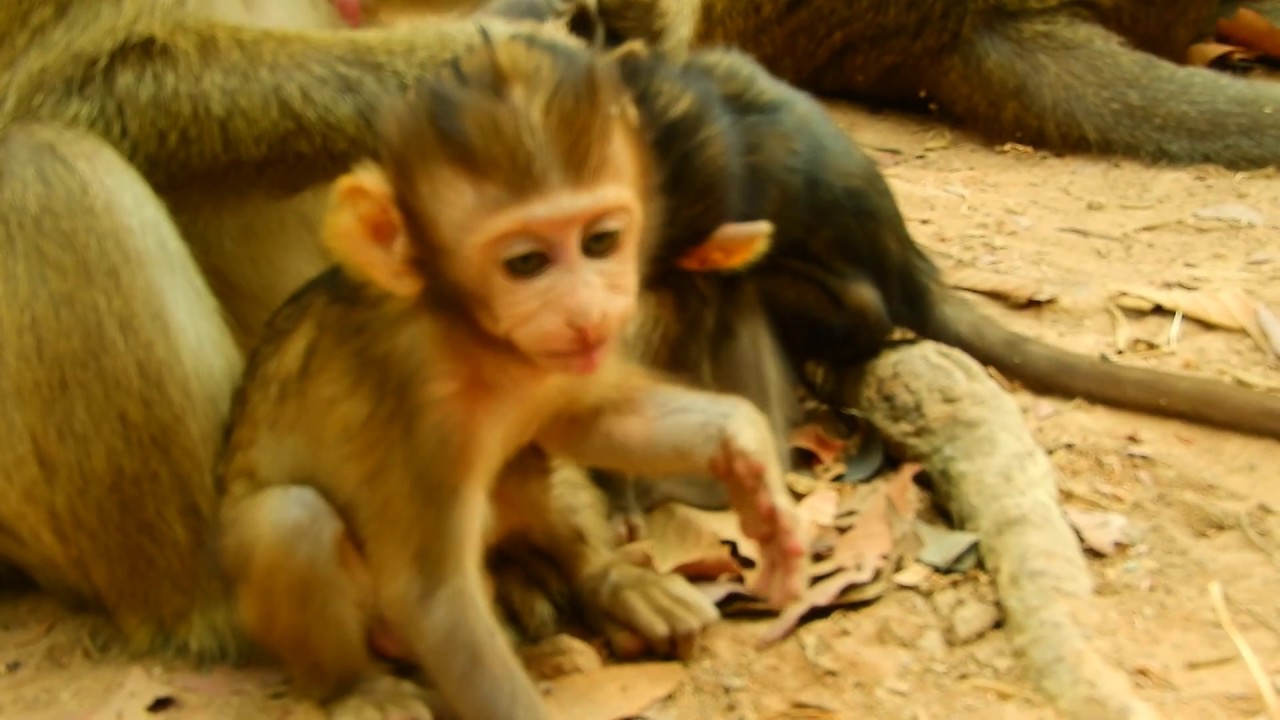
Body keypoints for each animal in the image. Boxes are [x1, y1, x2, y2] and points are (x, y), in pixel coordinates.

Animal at [215, 36, 807, 718]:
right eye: (526, 263)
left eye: (600, 242)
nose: (585, 312)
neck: (479, 340)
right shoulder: (416, 399)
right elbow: (436, 601)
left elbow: (589, 421)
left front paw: (745, 452)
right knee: (290, 522)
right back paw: (357, 686)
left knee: (528, 465)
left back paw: (610, 581)